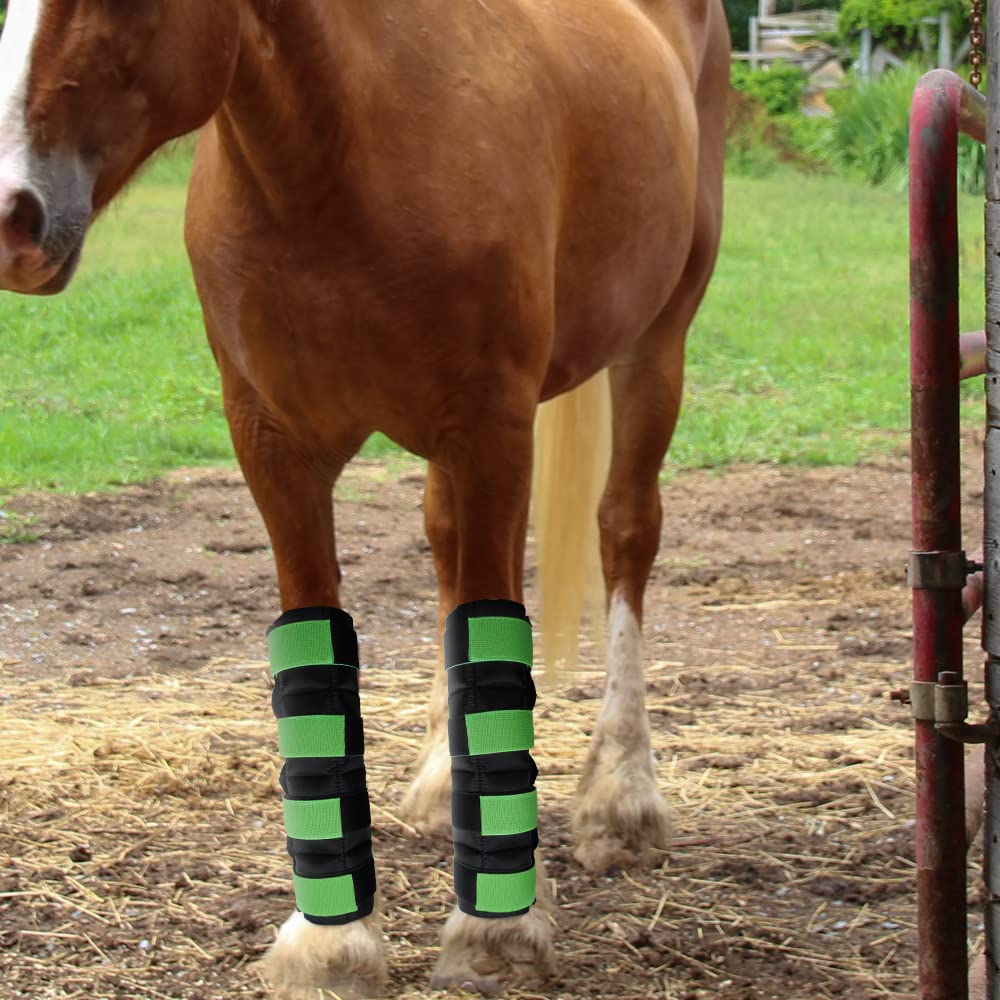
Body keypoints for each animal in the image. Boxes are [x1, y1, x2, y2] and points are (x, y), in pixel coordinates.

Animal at [0, 0, 729, 995]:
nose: (10, 214)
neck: (345, 144)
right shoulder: (274, 448)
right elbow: (324, 660)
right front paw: (332, 942)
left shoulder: (492, 429)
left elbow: (497, 629)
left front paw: (496, 929)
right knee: (450, 548)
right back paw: (442, 781)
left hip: (658, 339)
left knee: (624, 532)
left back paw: (621, 796)